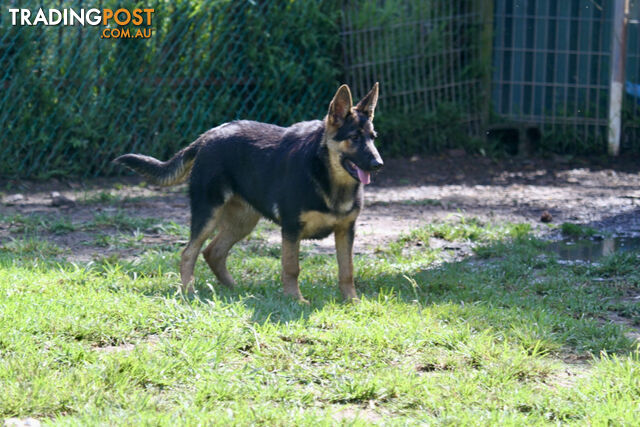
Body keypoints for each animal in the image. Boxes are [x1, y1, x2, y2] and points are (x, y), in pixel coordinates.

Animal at [115, 83, 382, 302]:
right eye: (354, 138)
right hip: (208, 215)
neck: (329, 177)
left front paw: (352, 301)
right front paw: (295, 300)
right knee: (189, 252)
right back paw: (189, 291)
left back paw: (236, 290)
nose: (378, 164)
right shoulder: (291, 230)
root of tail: (208, 135)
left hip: (242, 222)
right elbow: (291, 268)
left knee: (213, 252)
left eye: (373, 137)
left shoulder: (346, 231)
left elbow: (347, 270)